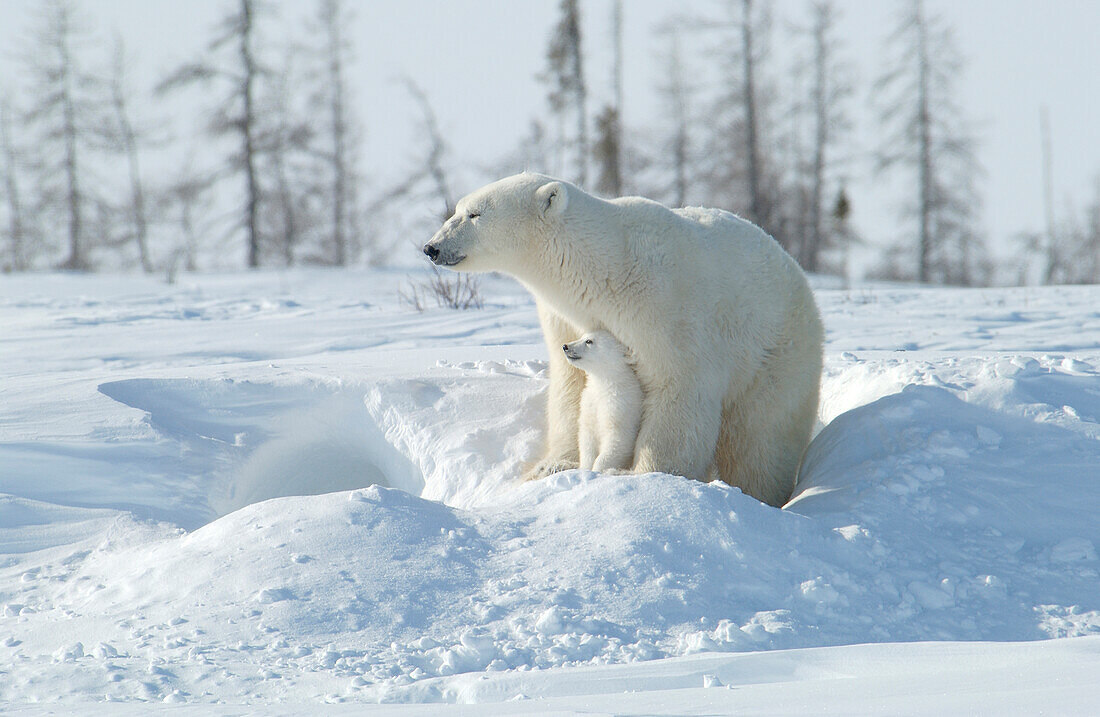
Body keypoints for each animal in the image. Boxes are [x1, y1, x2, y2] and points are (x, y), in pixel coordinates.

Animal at [563, 329, 642, 472]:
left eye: (589, 341)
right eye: (582, 337)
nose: (565, 346)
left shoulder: (621, 407)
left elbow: (617, 441)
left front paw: (597, 471)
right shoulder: (589, 403)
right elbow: (587, 439)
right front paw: (585, 468)